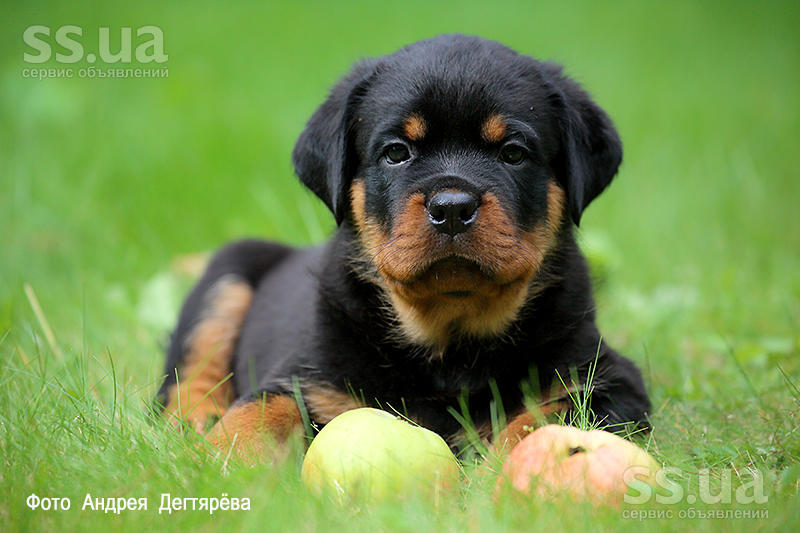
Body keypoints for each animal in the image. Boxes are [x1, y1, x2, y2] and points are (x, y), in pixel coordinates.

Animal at [156, 33, 648, 460]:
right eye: (396, 152)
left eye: (513, 153)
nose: (452, 208)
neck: (449, 342)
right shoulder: (304, 375)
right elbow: (257, 411)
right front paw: (212, 463)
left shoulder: (607, 381)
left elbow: (546, 416)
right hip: (229, 269)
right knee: (186, 379)